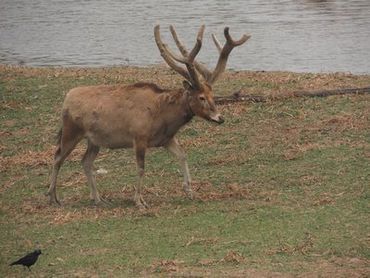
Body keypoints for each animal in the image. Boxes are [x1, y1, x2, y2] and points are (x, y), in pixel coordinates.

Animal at [45, 24, 249, 208]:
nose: (219, 118)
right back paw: (52, 197)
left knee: (85, 162)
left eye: (213, 95)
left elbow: (183, 156)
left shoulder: (166, 138)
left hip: (94, 140)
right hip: (71, 131)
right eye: (201, 97)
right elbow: (141, 168)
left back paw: (98, 198)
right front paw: (139, 201)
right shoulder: (139, 136)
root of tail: (66, 99)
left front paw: (189, 191)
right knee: (57, 156)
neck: (163, 118)